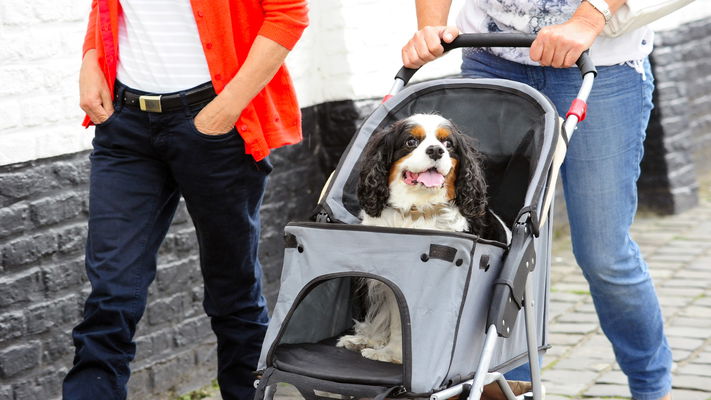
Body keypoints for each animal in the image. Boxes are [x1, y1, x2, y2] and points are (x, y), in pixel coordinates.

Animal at [338, 111, 492, 362]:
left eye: (448, 144)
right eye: (411, 141)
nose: (436, 150)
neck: (416, 210)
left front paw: (396, 356)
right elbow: (398, 321)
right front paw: (390, 351)